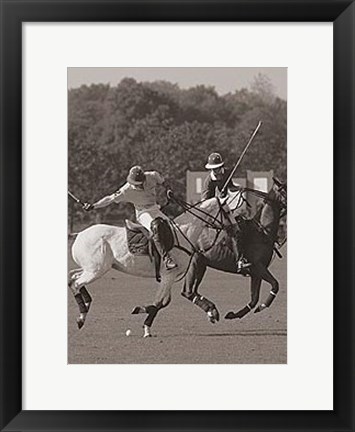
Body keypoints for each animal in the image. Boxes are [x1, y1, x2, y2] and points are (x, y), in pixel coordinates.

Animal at [181, 178, 286, 320]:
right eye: (283, 190)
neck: (262, 231)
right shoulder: (258, 266)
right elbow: (275, 284)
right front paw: (263, 306)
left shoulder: (256, 272)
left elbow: (254, 299)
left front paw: (234, 314)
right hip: (194, 261)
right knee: (187, 292)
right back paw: (212, 310)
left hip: (202, 264)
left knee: (192, 291)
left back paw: (211, 311)